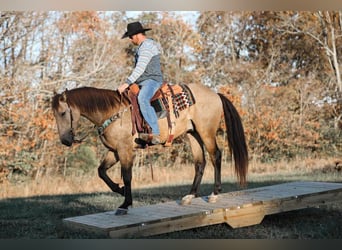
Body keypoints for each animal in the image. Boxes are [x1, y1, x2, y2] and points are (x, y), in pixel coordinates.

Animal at [51, 83, 248, 215]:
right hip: (193, 134)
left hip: (206, 132)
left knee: (216, 156)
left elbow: (127, 176)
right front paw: (120, 190)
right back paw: (190, 196)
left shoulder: (125, 150)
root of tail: (215, 94)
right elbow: (101, 171)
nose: (65, 140)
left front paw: (125, 204)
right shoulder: (114, 151)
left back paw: (214, 193)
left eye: (63, 113)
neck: (111, 112)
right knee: (200, 162)